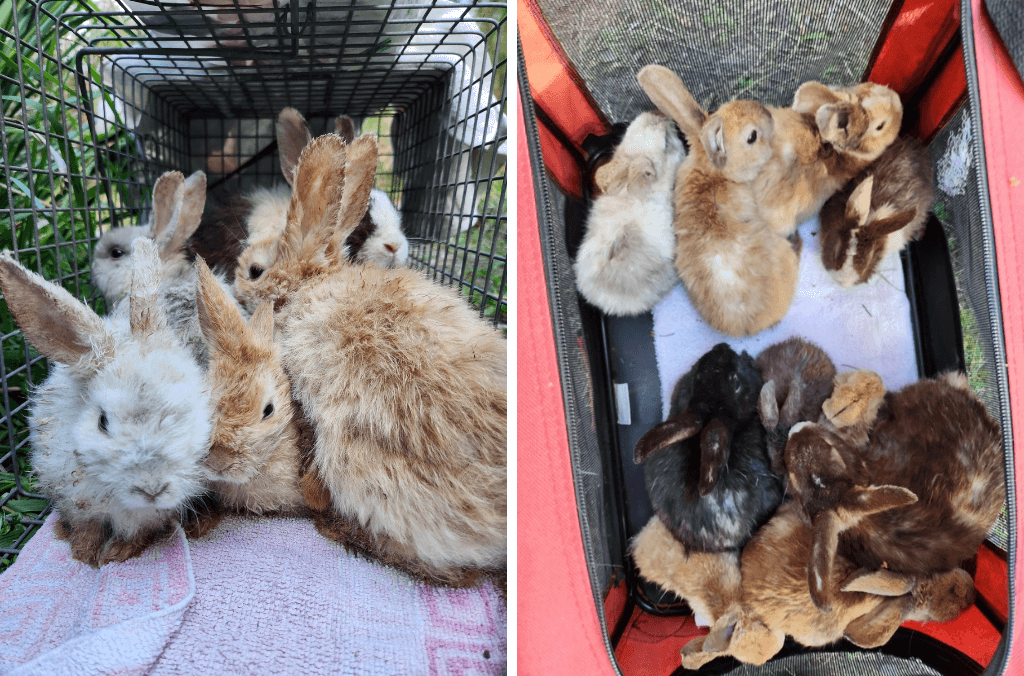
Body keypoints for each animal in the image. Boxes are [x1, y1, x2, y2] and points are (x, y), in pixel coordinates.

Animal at [0, 240, 211, 569]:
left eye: (185, 415)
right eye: (103, 422)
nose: (152, 489)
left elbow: (135, 534)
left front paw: (116, 554)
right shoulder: (77, 500)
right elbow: (88, 527)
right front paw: (84, 554)